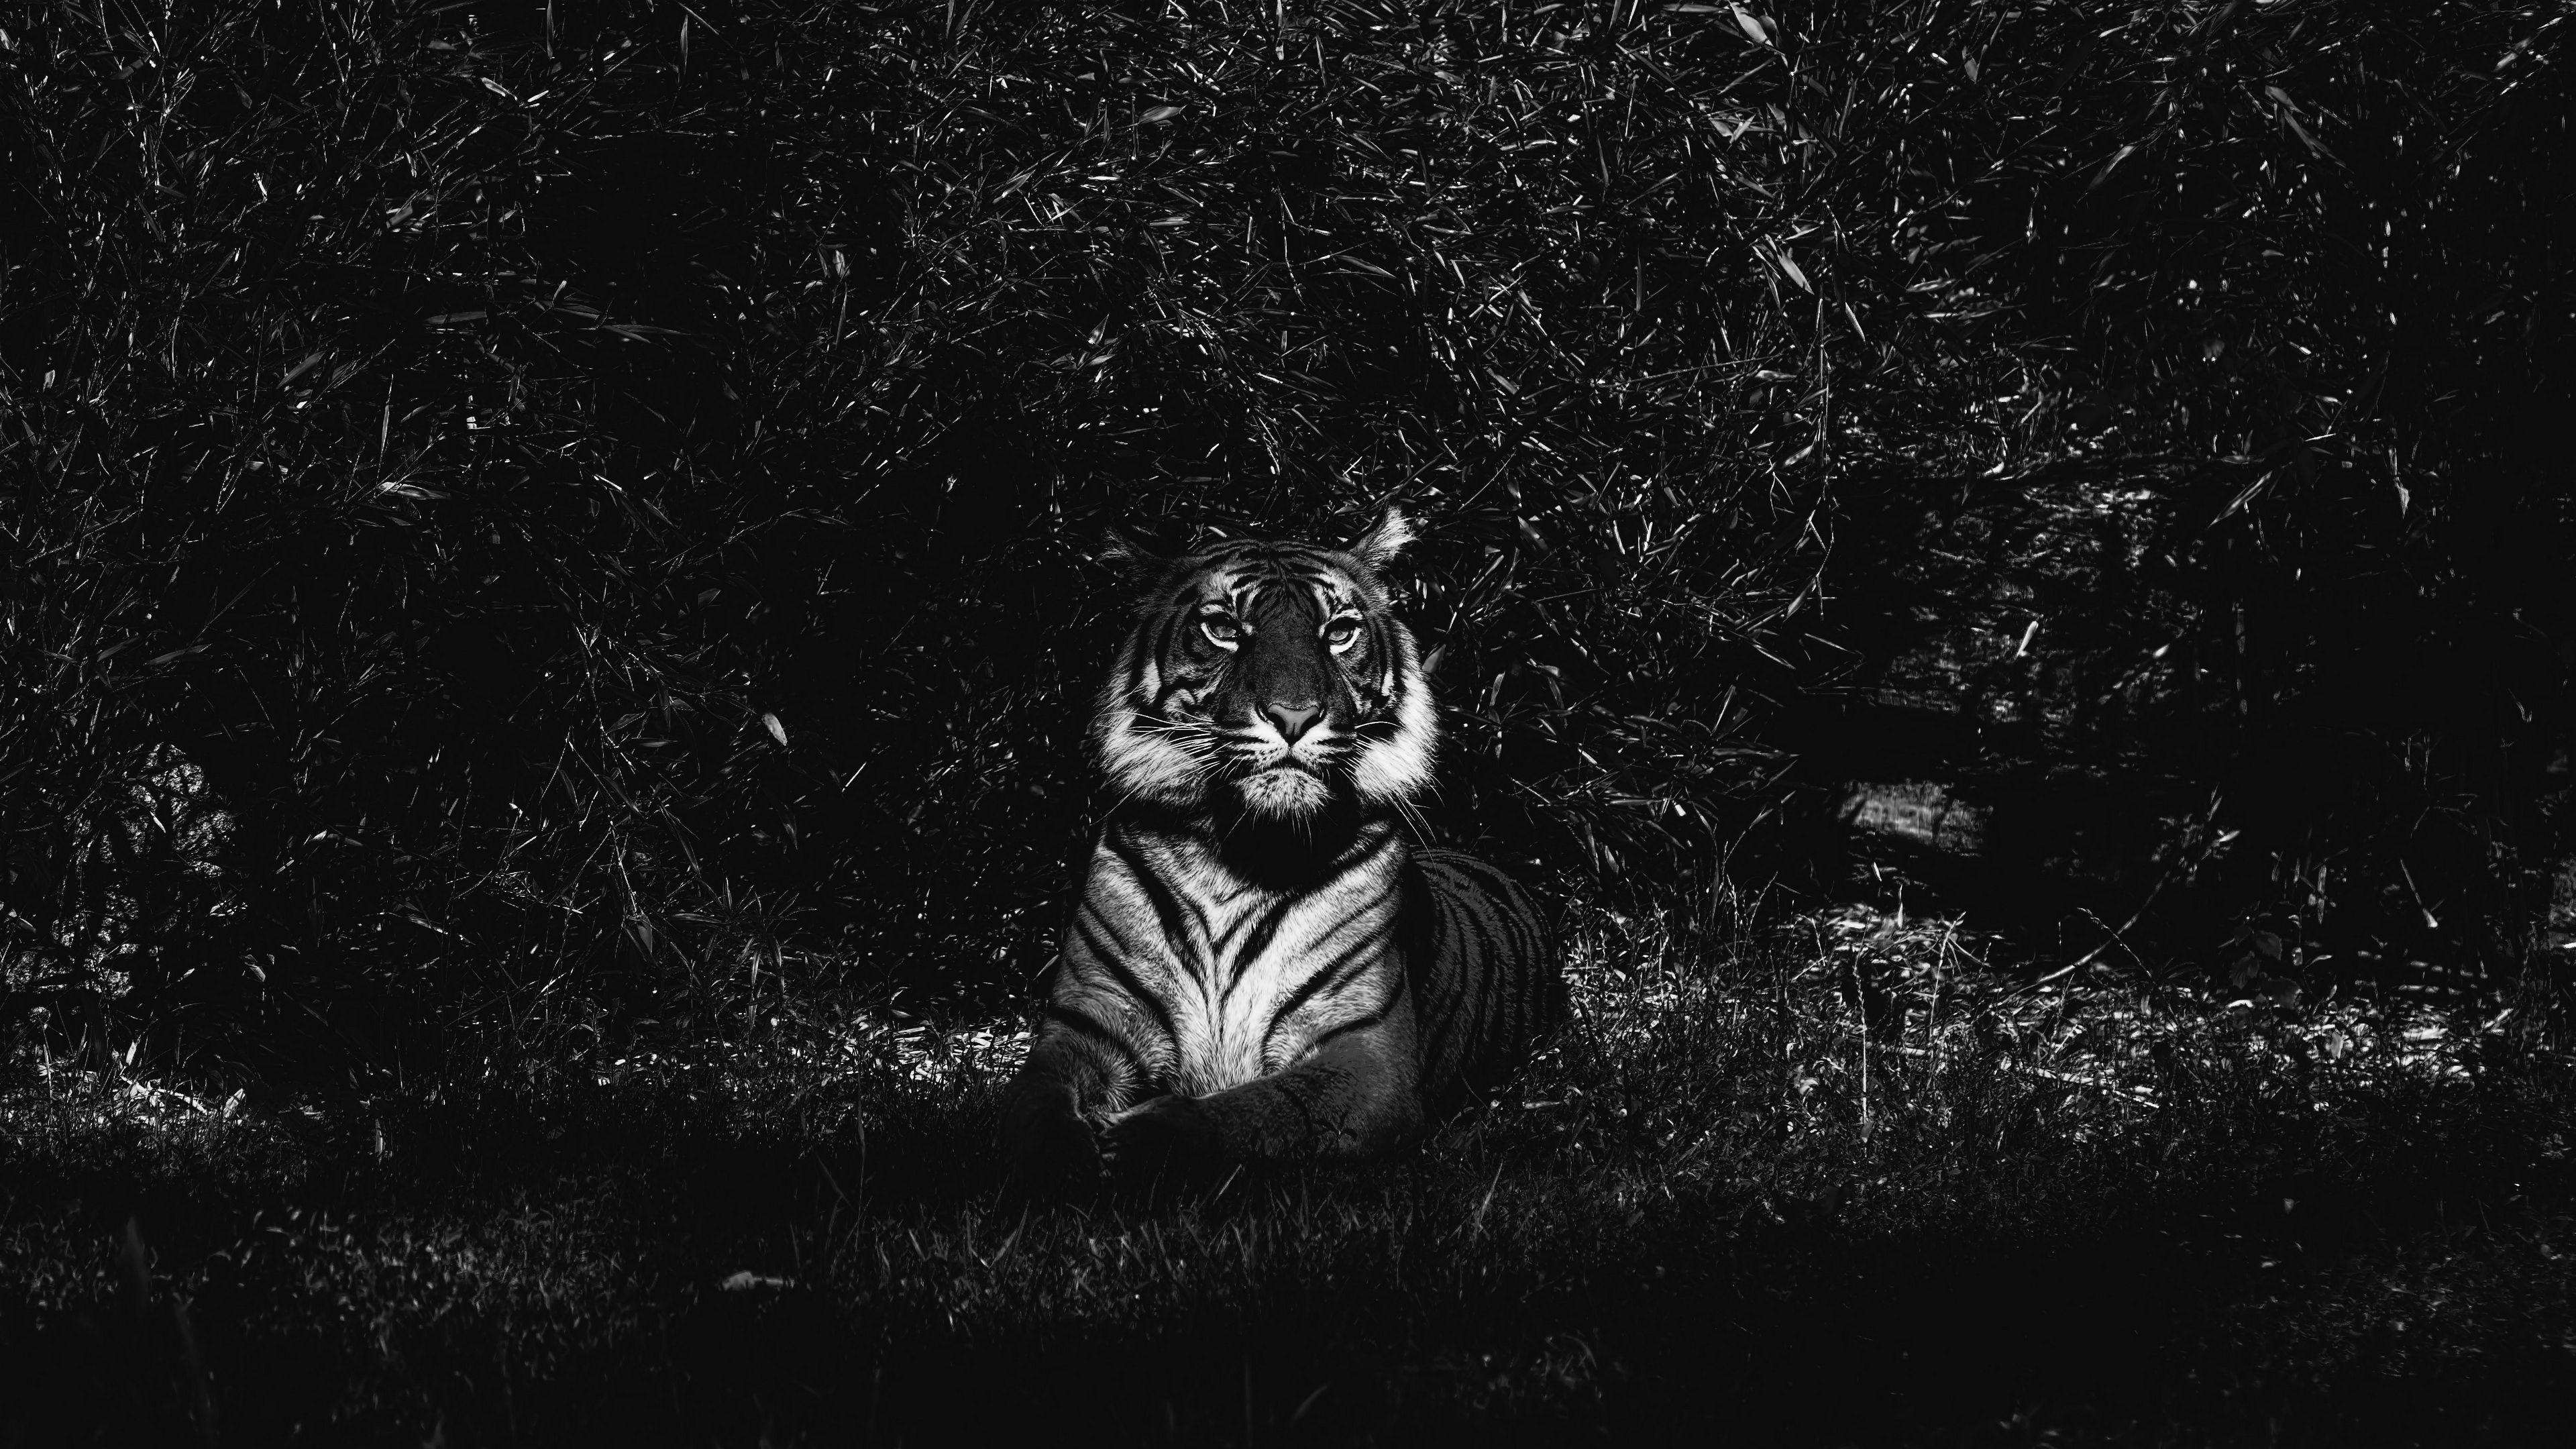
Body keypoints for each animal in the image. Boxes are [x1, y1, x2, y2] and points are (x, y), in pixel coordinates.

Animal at [1000, 507, 1565, 1193]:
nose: (1294, 716)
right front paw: (1062, 1164)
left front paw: (1138, 1141)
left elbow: (1253, 1114)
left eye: (1339, 632)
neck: (1235, 855)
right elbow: (1031, 1108)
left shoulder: (1363, 1059)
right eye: (1223, 629)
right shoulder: (1084, 1026)